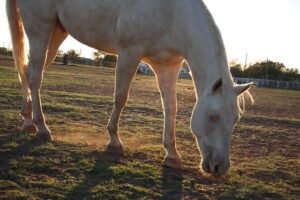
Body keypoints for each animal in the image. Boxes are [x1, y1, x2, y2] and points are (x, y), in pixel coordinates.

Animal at [7, 0, 252, 176]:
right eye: (213, 116)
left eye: (235, 119)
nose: (220, 167)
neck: (172, 13)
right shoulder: (129, 53)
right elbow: (121, 97)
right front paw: (114, 142)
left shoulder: (168, 66)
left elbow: (170, 107)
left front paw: (172, 155)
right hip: (40, 30)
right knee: (35, 77)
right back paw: (41, 128)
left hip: (57, 33)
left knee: (28, 71)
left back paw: (27, 121)